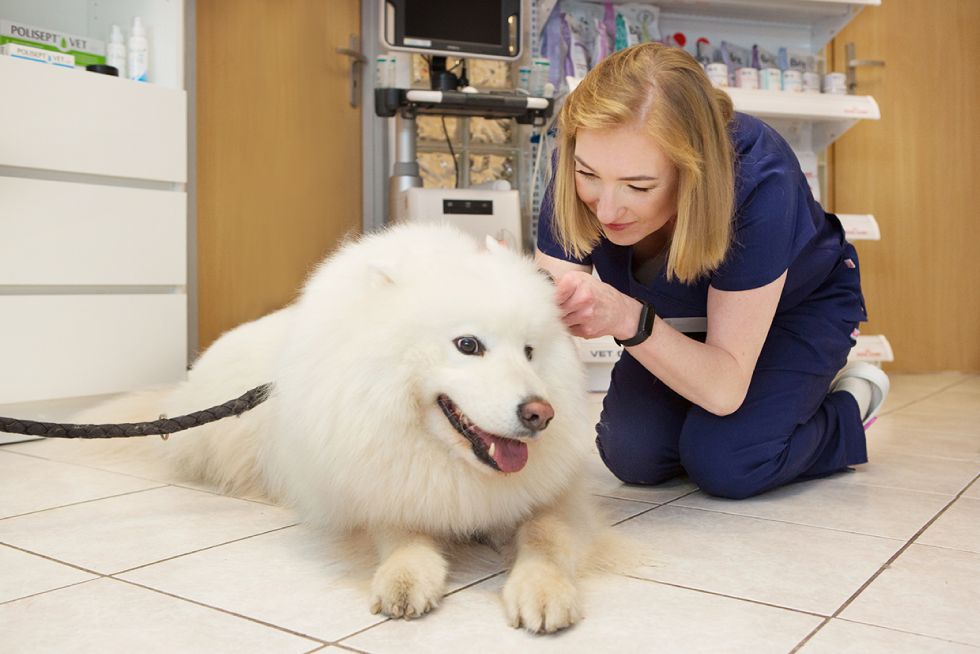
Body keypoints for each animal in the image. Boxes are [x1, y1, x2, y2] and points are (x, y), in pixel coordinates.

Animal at [74, 222, 620, 636]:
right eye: (468, 345)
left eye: (530, 352)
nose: (540, 413)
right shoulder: (371, 485)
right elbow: (399, 532)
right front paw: (405, 577)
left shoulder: (551, 499)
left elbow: (544, 536)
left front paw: (544, 590)